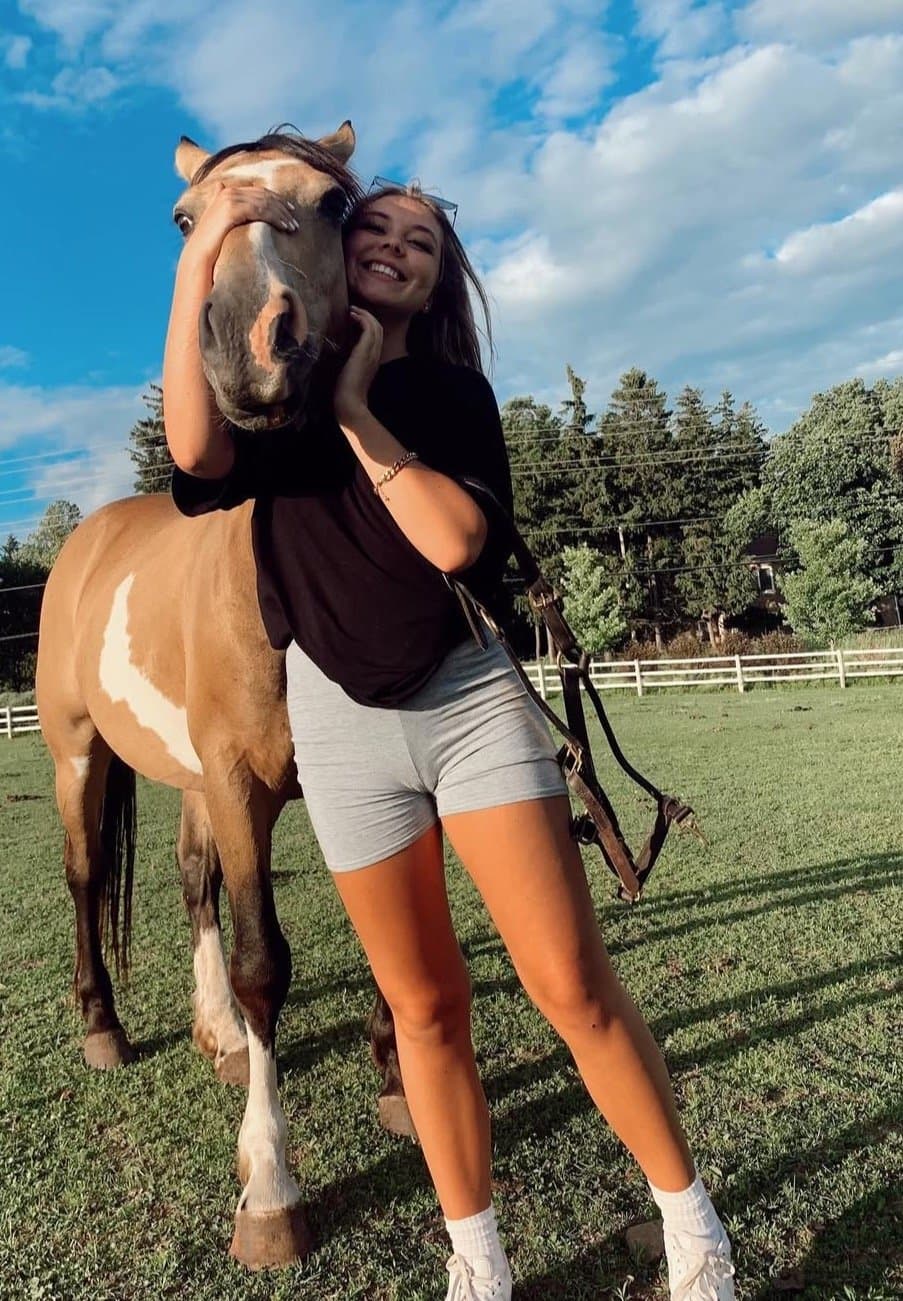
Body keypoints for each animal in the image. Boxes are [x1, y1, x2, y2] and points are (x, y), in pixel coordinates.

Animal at [35, 123, 411, 1271]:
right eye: (184, 221)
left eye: (333, 205)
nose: (252, 341)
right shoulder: (242, 785)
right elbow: (262, 966)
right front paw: (272, 1188)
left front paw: (396, 1075)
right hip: (78, 754)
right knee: (85, 878)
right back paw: (104, 1027)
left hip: (190, 777)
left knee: (191, 881)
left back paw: (215, 1039)